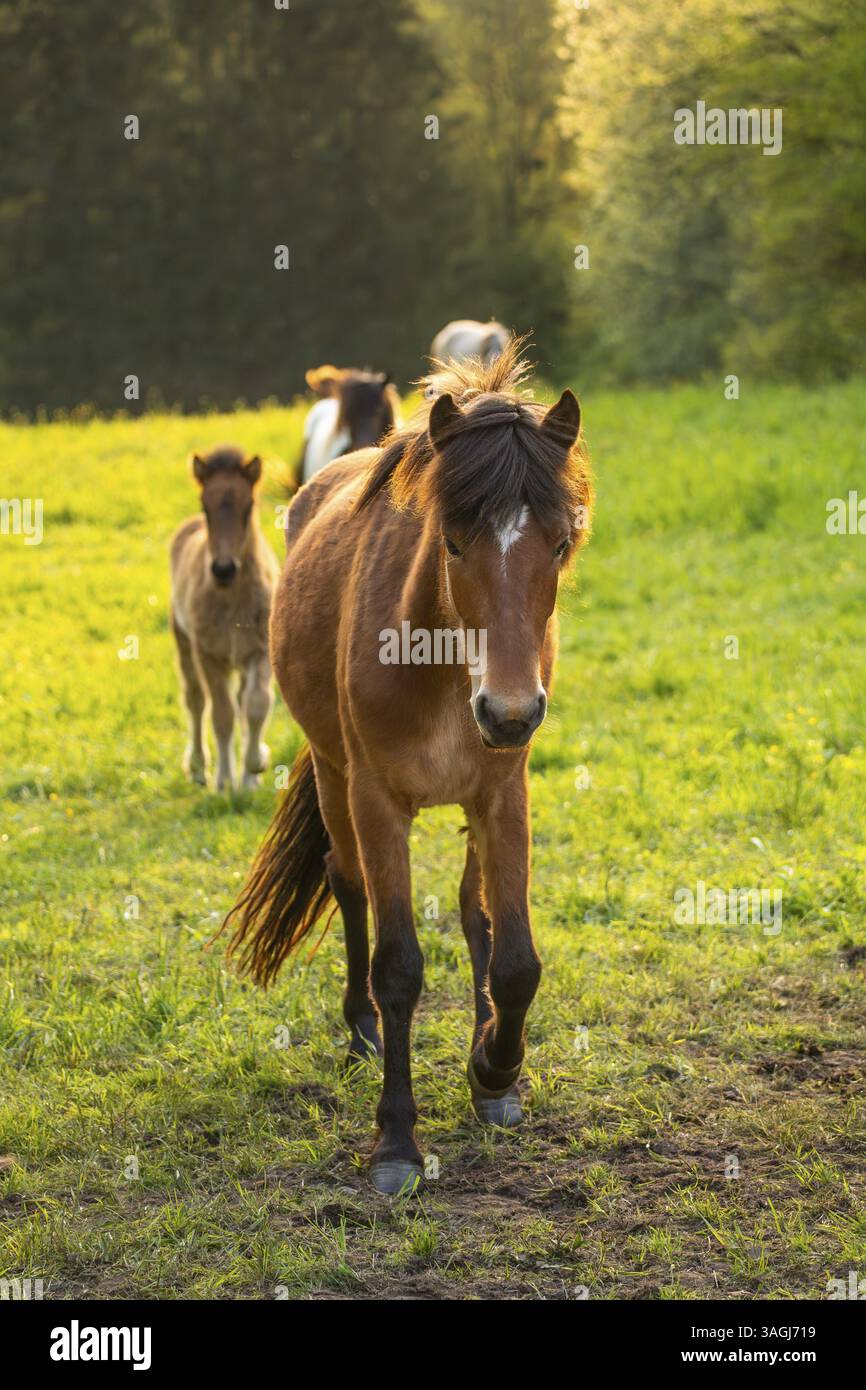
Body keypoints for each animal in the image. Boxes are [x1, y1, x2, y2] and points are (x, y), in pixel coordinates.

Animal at [170, 446, 280, 791]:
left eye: (249, 506)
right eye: (205, 506)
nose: (223, 569)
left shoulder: (260, 650)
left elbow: (256, 705)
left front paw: (255, 767)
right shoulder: (209, 655)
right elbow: (221, 715)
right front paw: (223, 781)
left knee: (242, 701)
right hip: (183, 642)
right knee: (195, 700)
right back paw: (197, 768)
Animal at [221, 344, 592, 1194]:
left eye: (560, 543)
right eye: (453, 542)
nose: (510, 711)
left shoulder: (503, 794)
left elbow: (513, 958)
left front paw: (494, 1072)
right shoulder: (378, 800)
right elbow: (398, 967)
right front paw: (396, 1142)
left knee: (472, 912)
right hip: (335, 777)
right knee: (347, 882)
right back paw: (359, 1030)